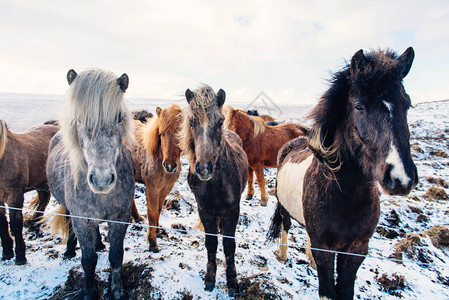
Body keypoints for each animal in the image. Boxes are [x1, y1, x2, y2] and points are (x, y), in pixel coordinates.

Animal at [0, 119, 58, 264]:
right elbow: (3, 224)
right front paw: (7, 253)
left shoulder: (15, 198)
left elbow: (15, 225)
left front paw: (20, 257)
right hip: (41, 183)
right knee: (44, 199)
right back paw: (34, 223)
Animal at [47, 68, 135, 300]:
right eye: (79, 119)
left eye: (118, 117)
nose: (102, 179)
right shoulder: (81, 219)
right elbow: (88, 260)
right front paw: (89, 292)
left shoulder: (120, 217)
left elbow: (116, 256)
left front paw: (117, 292)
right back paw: (69, 250)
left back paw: (99, 244)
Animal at [128, 104, 182, 252]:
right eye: (161, 134)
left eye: (179, 134)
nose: (169, 165)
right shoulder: (152, 189)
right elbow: (152, 213)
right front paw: (152, 242)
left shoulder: (165, 189)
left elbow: (158, 210)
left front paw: (157, 231)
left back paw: (137, 217)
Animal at [266, 48, 416, 298]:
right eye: (359, 106)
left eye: (408, 104)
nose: (400, 178)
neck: (345, 195)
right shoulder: (325, 248)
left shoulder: (357, 249)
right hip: (285, 208)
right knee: (286, 228)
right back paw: (283, 256)